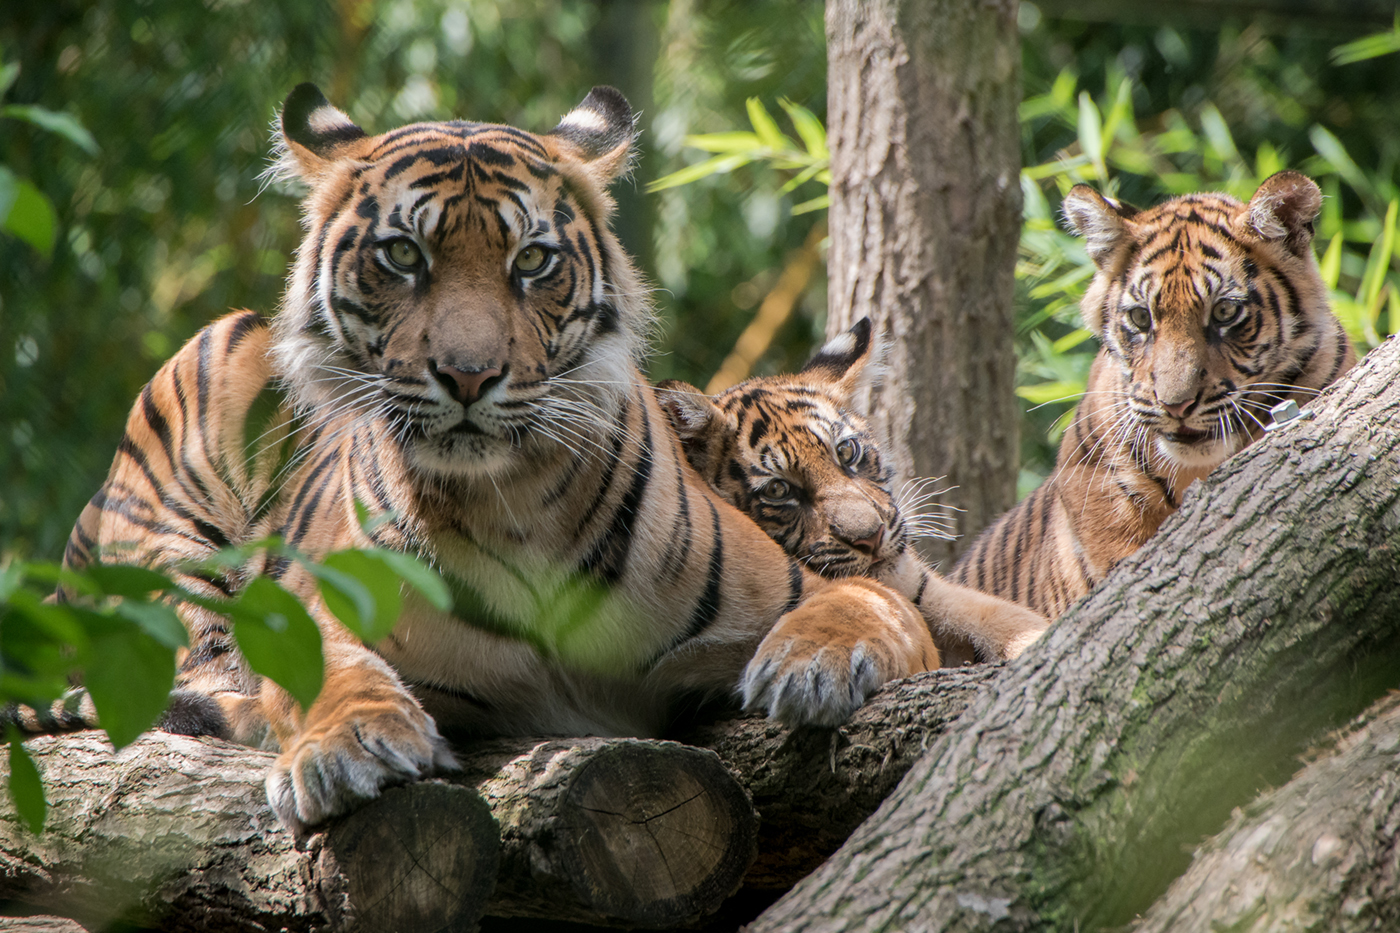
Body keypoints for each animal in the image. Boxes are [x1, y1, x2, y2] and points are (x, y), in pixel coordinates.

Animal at [68, 85, 940, 829]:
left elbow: (869, 600)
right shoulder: (317, 610)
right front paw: (347, 746)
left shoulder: (803, 584)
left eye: (532, 260)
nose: (467, 373)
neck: (514, 500)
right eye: (402, 255)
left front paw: (813, 664)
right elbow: (321, 670)